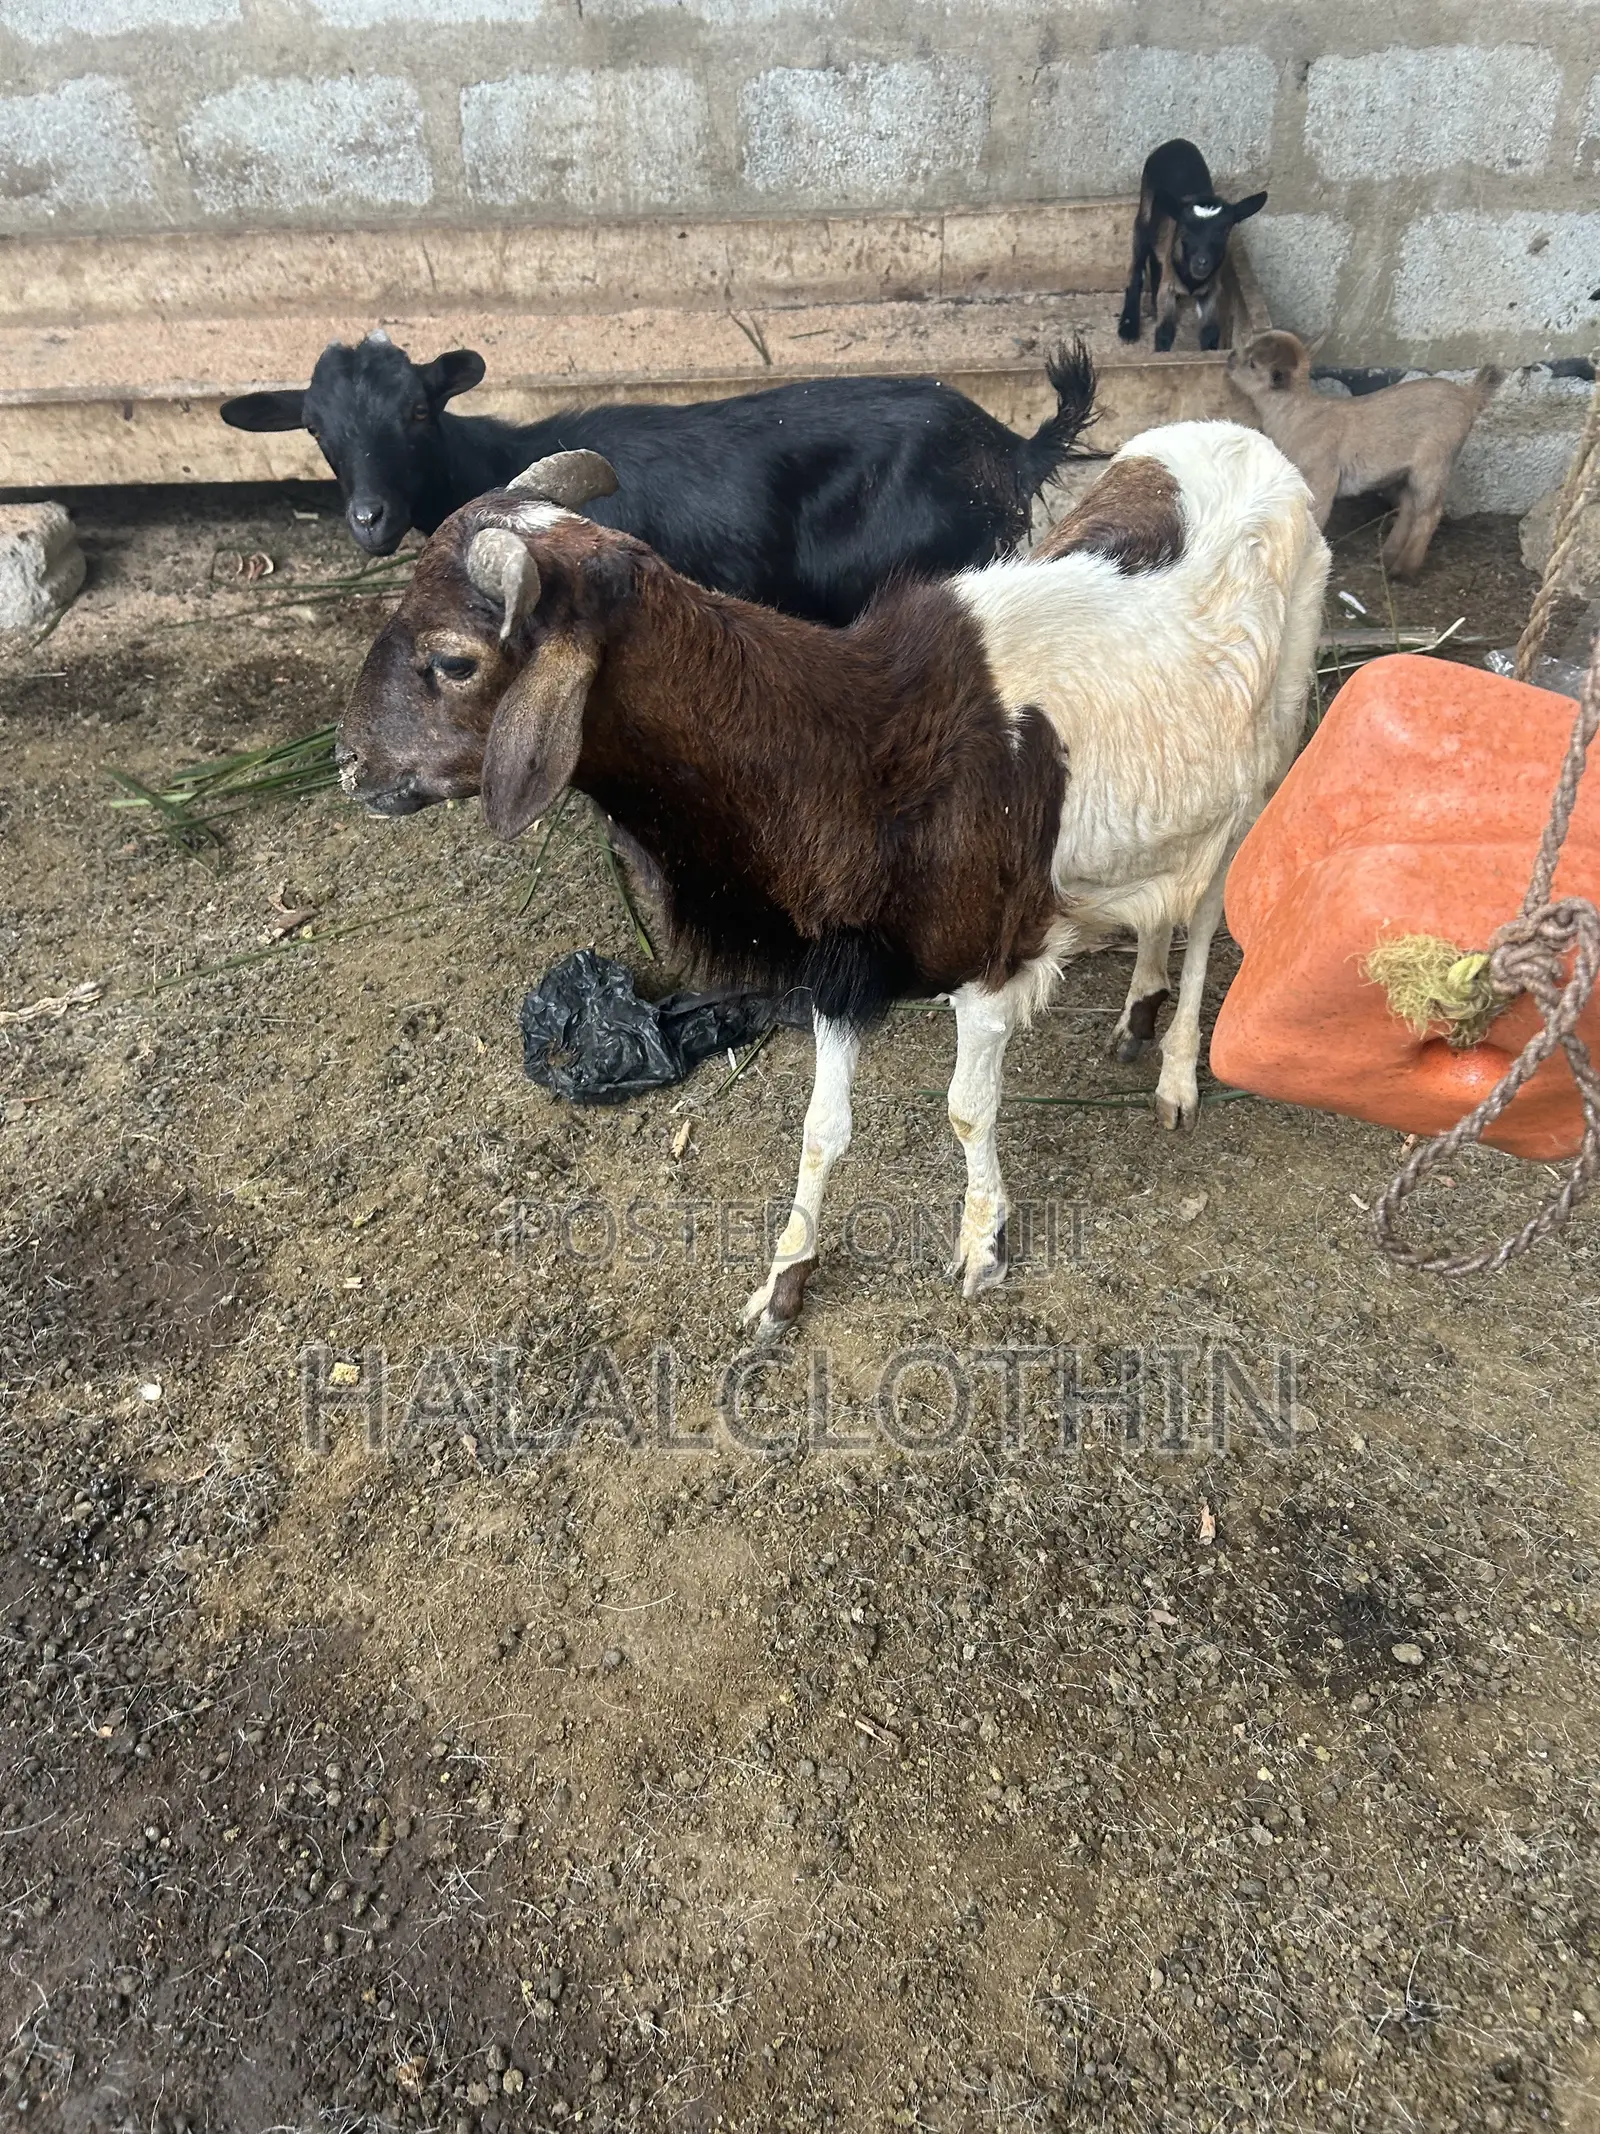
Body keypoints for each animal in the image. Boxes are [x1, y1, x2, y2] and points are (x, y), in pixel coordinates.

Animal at [336, 421, 1329, 1337]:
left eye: (453, 659)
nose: (349, 765)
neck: (852, 753)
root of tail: (1242, 437)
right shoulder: (845, 963)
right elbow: (822, 1129)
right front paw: (782, 1284)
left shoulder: (989, 962)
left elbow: (968, 1111)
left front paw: (982, 1248)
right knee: (1164, 906)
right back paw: (1136, 1010)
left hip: (1266, 765)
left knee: (1207, 917)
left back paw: (1176, 1074)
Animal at [1118, 139, 1267, 353]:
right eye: (1184, 229)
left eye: (1224, 231)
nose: (1202, 263)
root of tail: (1176, 142)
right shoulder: (1169, 289)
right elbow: (1164, 332)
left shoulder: (1212, 291)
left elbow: (1210, 332)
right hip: (1144, 210)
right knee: (1138, 263)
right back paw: (1129, 326)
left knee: (1155, 257)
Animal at [1227, 329, 1502, 578]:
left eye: (1252, 363)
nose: (1230, 358)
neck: (1296, 415)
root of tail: (1469, 396)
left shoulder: (1323, 477)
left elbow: (1316, 519)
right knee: (1409, 505)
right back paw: (1388, 556)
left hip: (1434, 462)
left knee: (1429, 513)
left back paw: (1405, 570)